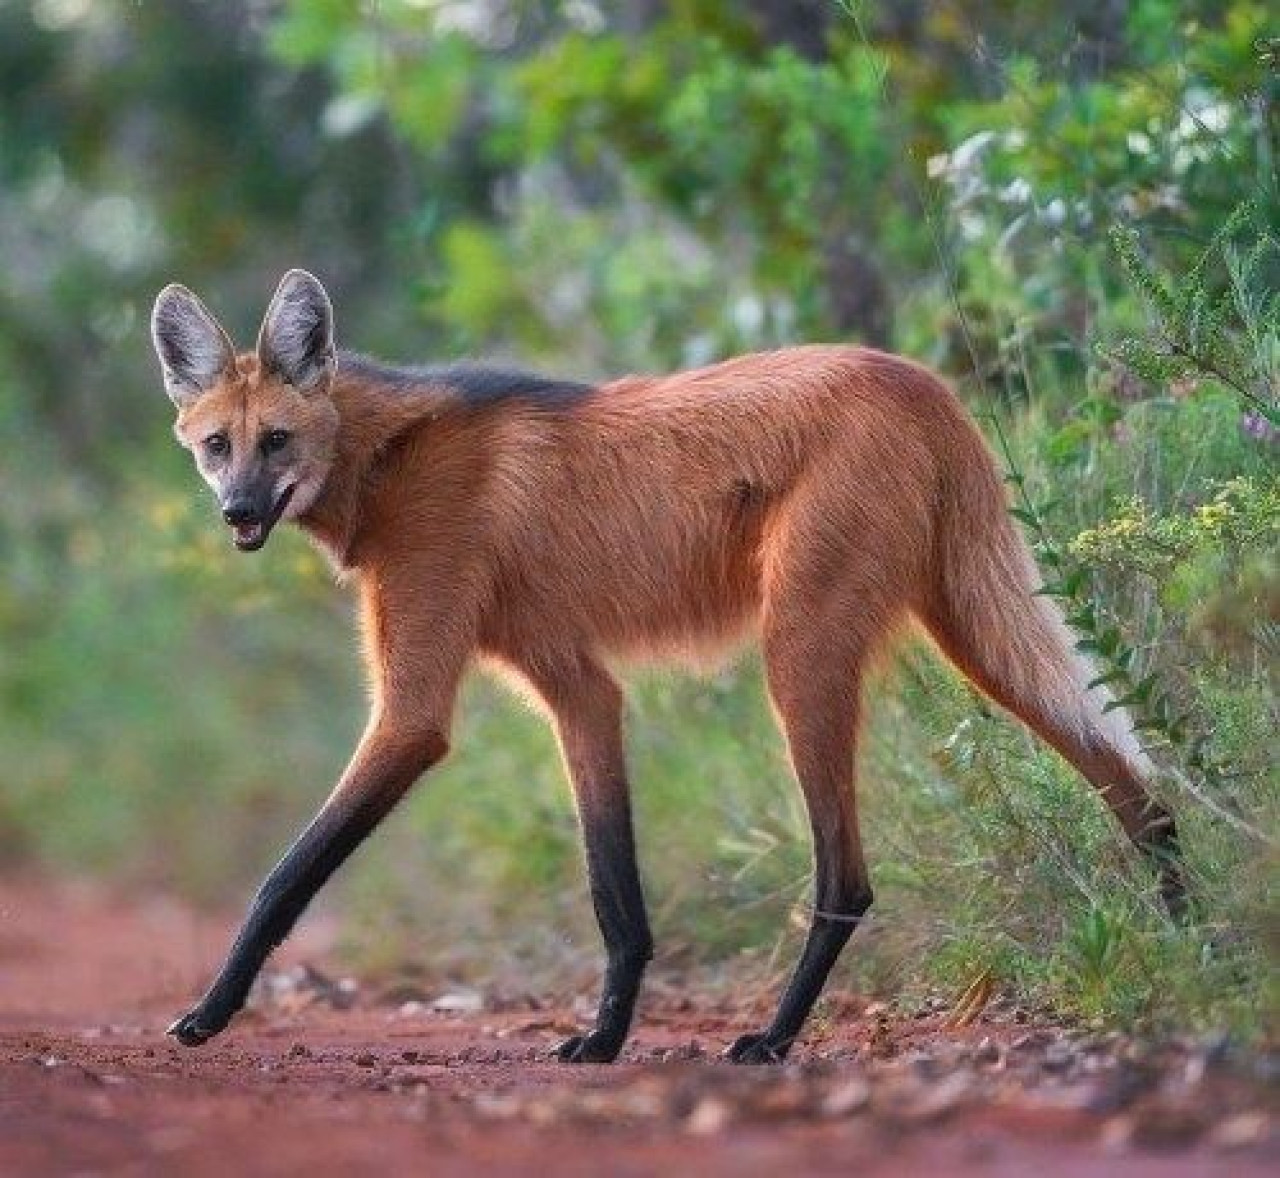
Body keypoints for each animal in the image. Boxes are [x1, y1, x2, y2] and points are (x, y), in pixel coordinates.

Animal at [147, 271, 1177, 1065]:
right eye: (217, 446)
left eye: (277, 441)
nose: (240, 513)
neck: (388, 460)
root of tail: (919, 379)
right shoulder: (579, 687)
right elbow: (617, 895)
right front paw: (605, 1040)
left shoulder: (414, 715)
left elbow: (285, 876)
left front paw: (207, 1014)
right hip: (973, 629)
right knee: (1137, 782)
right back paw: (1189, 935)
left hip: (799, 653)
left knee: (846, 879)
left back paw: (773, 1039)